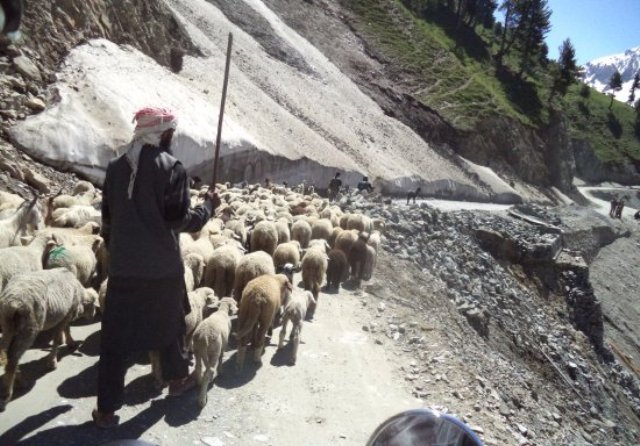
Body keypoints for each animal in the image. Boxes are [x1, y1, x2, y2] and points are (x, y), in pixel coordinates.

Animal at [0, 268, 99, 412]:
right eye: (93, 305)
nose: (93, 316)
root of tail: (11, 303)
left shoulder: (65, 313)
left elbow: (66, 329)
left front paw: (70, 343)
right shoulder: (67, 313)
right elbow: (57, 338)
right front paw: (52, 362)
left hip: (7, 325)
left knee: (8, 355)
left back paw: (17, 378)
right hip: (29, 327)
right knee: (13, 357)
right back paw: (9, 392)